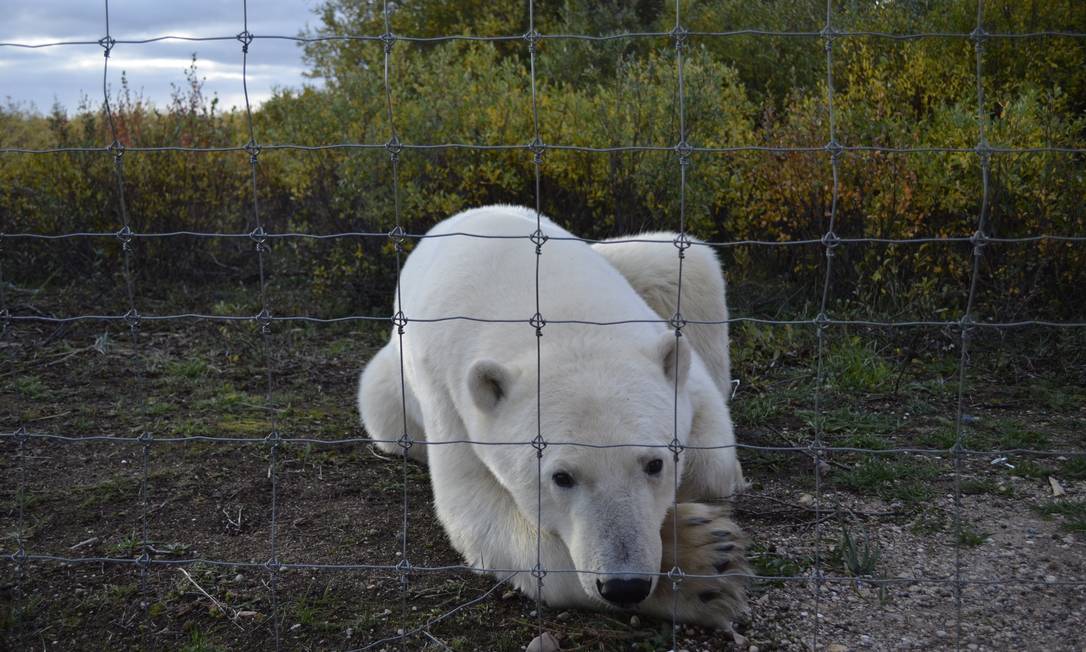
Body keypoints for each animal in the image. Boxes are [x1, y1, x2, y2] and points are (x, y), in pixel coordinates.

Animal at [356, 206, 747, 630]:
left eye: (655, 464)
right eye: (561, 477)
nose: (624, 585)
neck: (560, 318)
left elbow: (712, 458)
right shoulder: (449, 399)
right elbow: (475, 508)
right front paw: (701, 559)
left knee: (684, 262)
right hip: (391, 393)